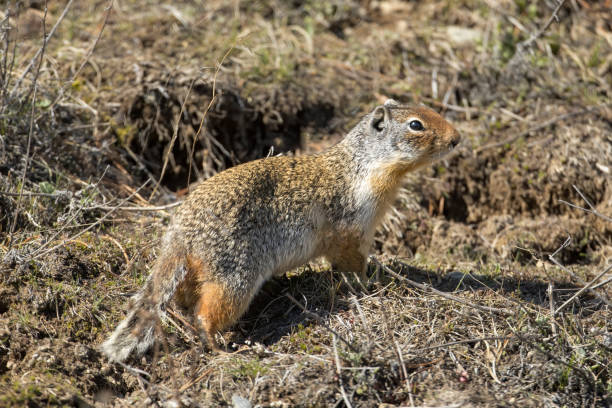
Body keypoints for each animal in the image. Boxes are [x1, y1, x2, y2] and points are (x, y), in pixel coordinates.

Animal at [103, 99, 462, 360]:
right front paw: (369, 284)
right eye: (416, 124)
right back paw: (222, 348)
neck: (364, 164)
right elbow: (352, 262)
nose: (457, 138)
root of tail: (180, 234)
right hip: (235, 274)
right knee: (207, 313)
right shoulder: (353, 227)